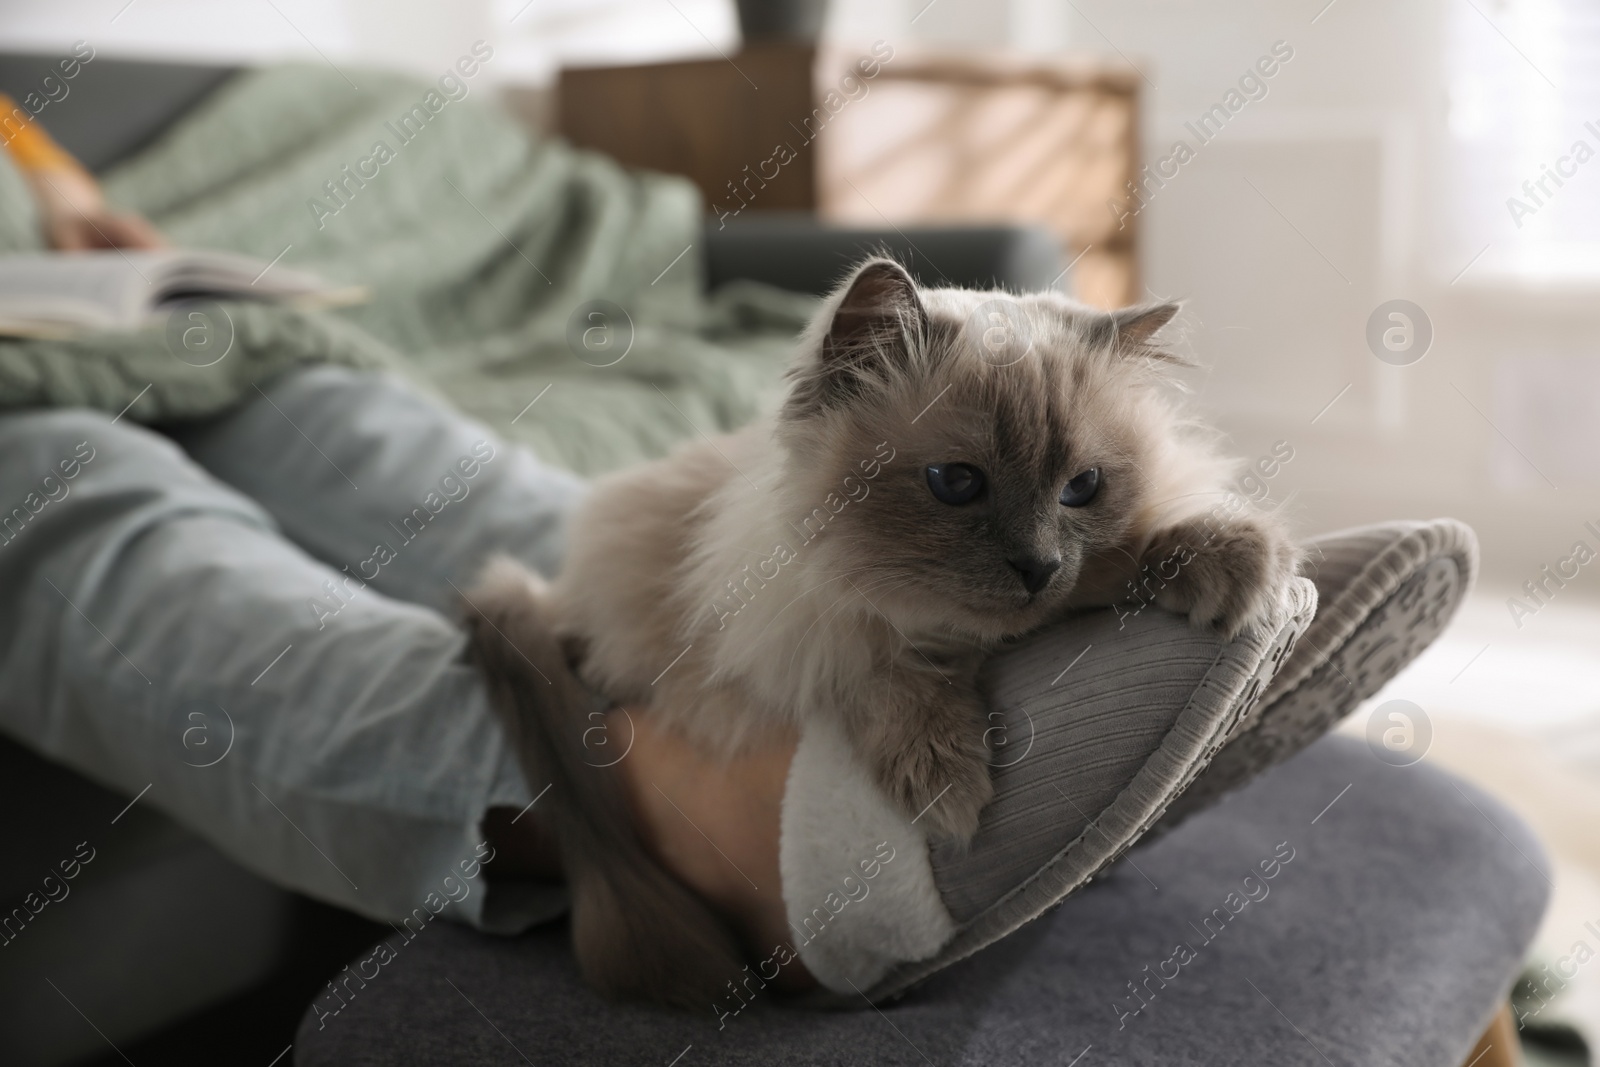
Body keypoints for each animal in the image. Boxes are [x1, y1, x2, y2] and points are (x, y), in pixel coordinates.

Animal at [464, 255, 1299, 1004]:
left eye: (1082, 488)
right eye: (956, 483)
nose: (1038, 567)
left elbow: (1153, 544)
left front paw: (1235, 565)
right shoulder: (806, 637)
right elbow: (888, 670)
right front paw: (946, 790)